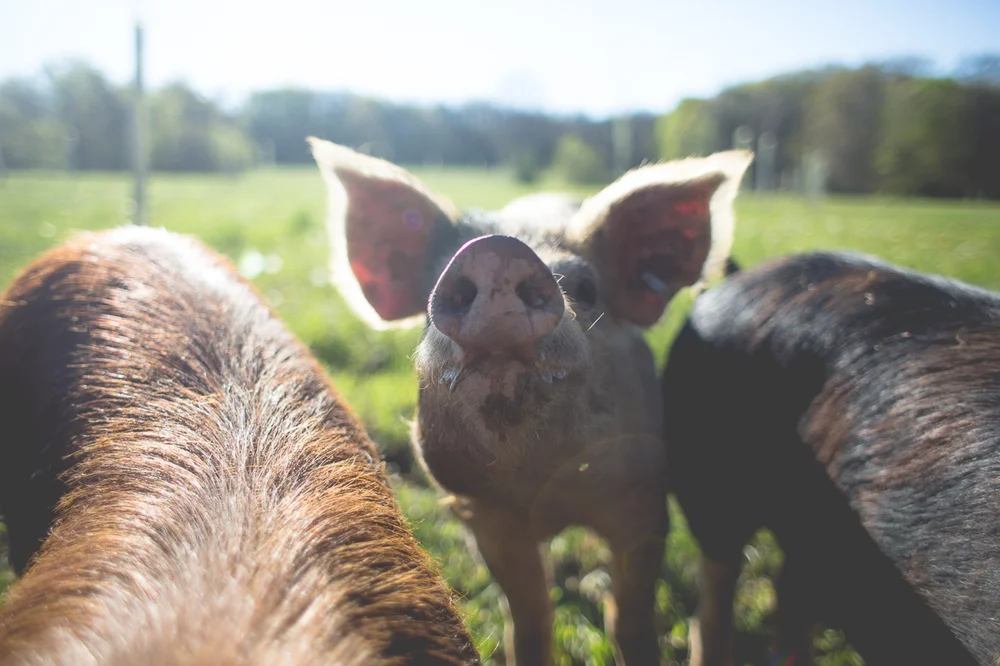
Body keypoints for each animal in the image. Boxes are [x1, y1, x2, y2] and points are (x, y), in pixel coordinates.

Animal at [309, 137, 753, 665]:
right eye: (431, 291)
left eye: (585, 287)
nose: (496, 251)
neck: (544, 486)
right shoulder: (485, 517)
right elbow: (529, 615)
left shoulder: (645, 498)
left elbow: (628, 614)